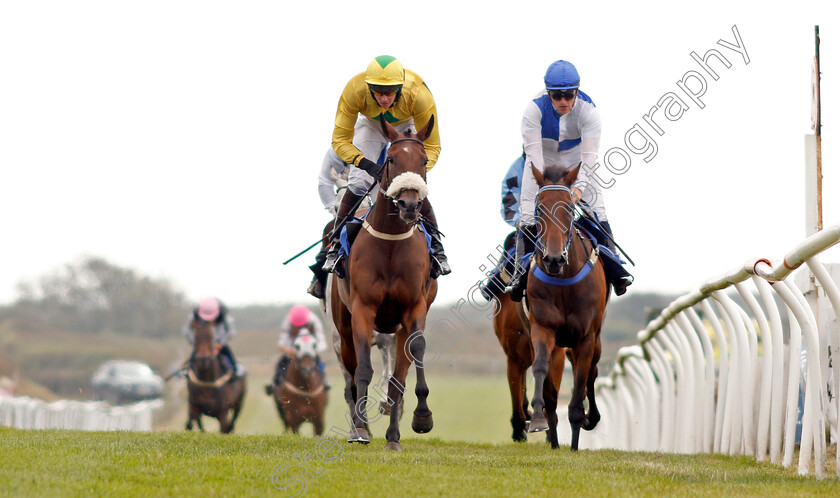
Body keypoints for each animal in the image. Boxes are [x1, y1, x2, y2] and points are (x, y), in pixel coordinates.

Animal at [330, 115, 440, 452]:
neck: (391, 243)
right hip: (343, 324)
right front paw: (361, 429)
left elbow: (409, 363)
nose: (409, 204)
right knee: (352, 373)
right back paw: (359, 426)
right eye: (391, 159)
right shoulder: (363, 309)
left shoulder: (414, 308)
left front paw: (421, 417)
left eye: (424, 161)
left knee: (396, 378)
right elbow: (363, 370)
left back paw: (392, 435)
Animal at [524, 164, 612, 452]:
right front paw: (538, 418)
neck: (563, 279)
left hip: (595, 340)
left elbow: (581, 382)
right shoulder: (542, 328)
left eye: (569, 209)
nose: (553, 259)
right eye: (540, 208)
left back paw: (589, 419)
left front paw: (576, 435)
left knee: (592, 373)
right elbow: (540, 369)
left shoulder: (585, 337)